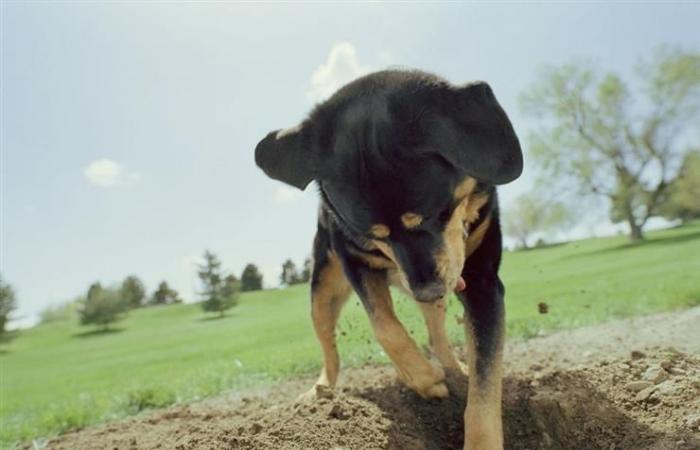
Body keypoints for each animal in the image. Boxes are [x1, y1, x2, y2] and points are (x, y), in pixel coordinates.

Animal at [254, 70, 524, 450]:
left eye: (438, 213)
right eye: (373, 234)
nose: (426, 290)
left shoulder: (482, 282)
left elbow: (484, 383)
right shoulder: (354, 259)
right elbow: (384, 325)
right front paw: (423, 378)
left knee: (437, 336)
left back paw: (455, 370)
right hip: (323, 288)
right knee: (330, 351)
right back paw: (321, 395)